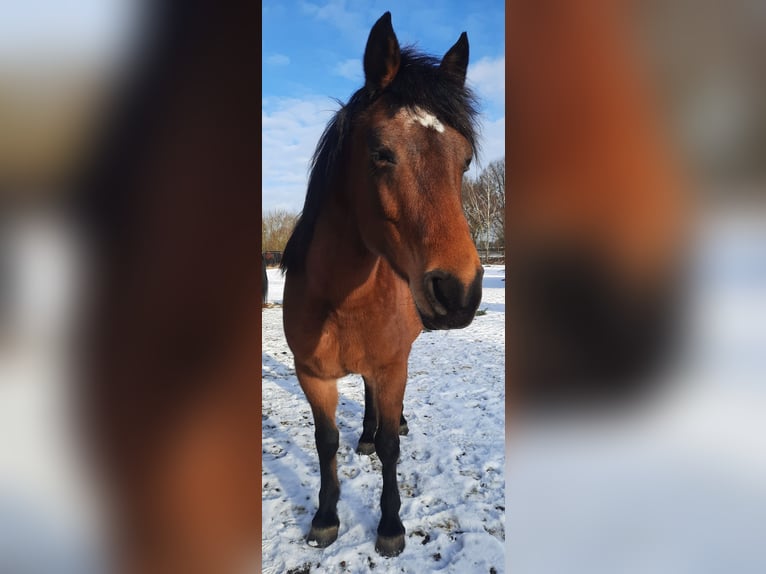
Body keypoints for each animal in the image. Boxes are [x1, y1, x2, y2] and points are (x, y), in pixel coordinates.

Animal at [282, 12, 484, 560]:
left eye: (464, 161)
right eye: (380, 153)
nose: (459, 292)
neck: (342, 300)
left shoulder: (394, 366)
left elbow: (394, 447)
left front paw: (390, 526)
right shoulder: (313, 376)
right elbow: (325, 443)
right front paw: (326, 517)